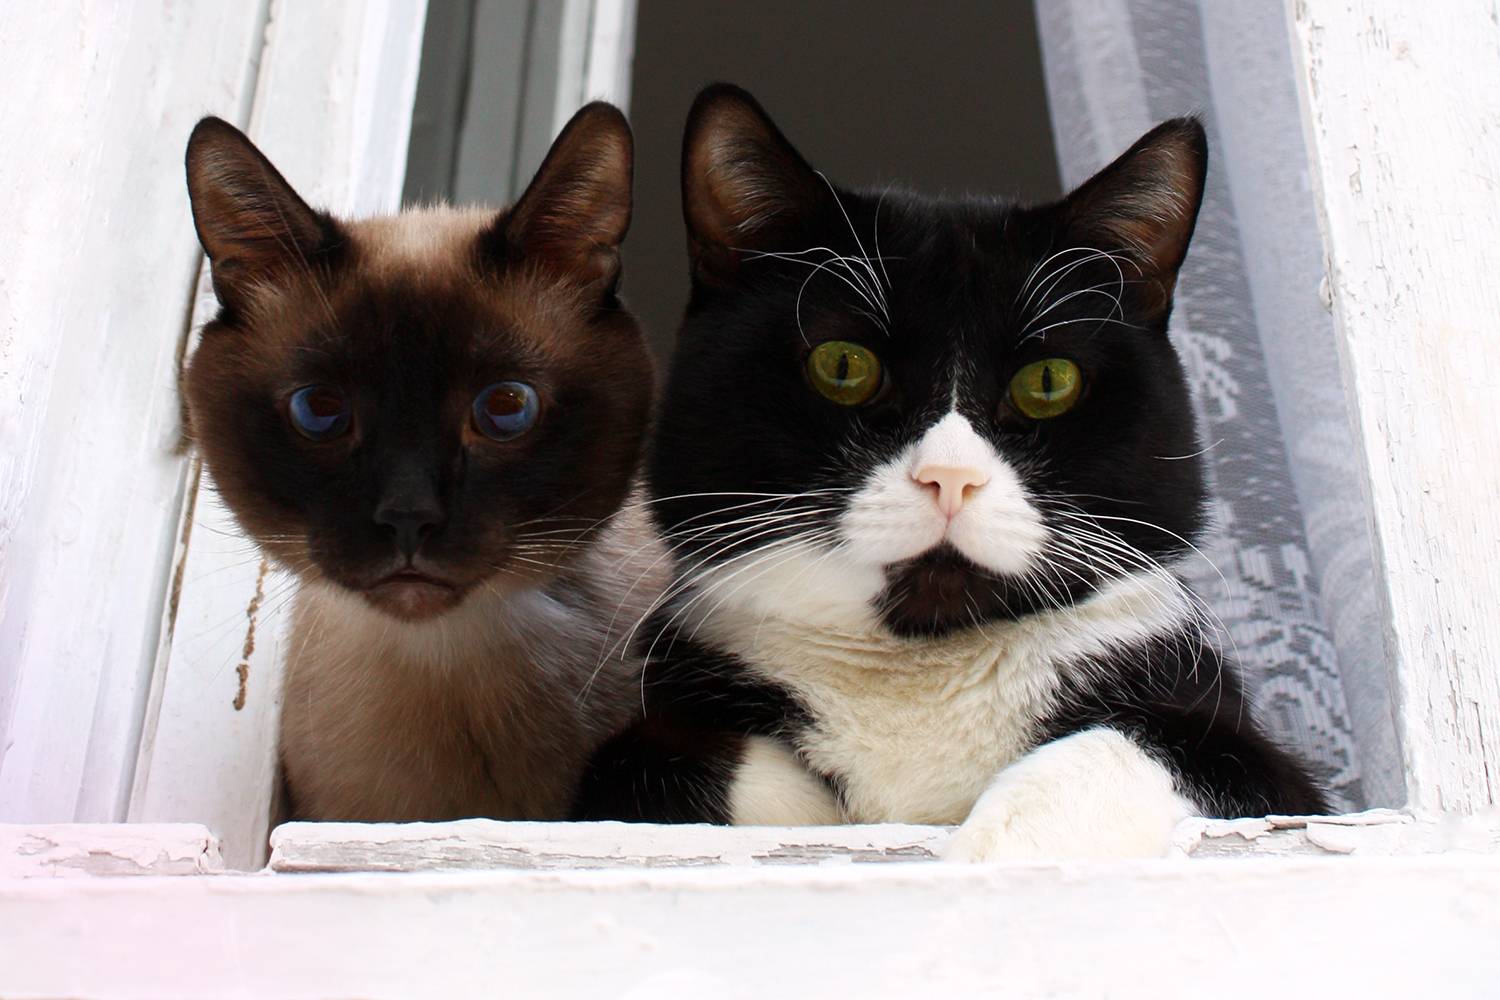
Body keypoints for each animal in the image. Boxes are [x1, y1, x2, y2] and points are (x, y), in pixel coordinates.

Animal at [574, 84, 1327, 858]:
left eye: (1048, 381)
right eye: (843, 365)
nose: (950, 477)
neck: (919, 669)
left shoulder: (1257, 763)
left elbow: (1143, 747)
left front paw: (996, 850)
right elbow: (637, 760)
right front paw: (822, 816)